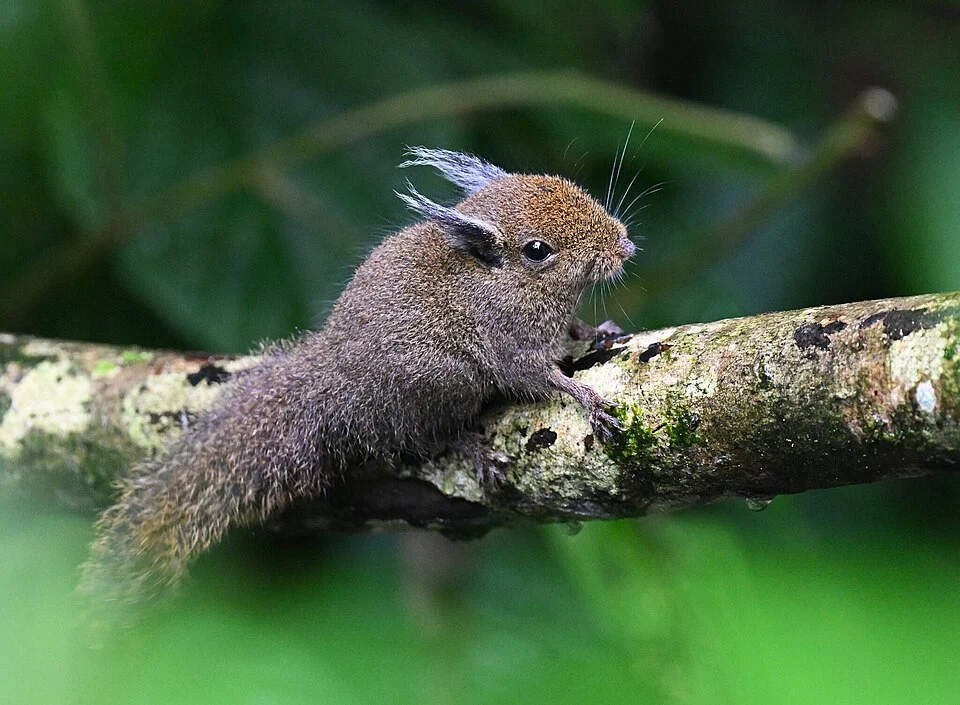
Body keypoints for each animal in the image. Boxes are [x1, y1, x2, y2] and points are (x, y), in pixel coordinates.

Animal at [80, 147, 636, 610]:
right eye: (538, 250)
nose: (625, 245)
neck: (500, 282)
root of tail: (334, 383)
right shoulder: (507, 342)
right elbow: (539, 377)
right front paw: (585, 397)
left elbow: (574, 330)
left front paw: (597, 331)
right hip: (441, 381)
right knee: (415, 437)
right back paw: (467, 446)